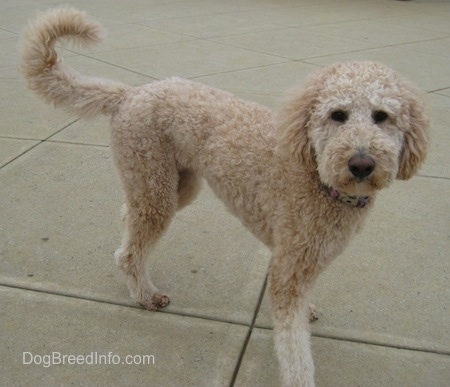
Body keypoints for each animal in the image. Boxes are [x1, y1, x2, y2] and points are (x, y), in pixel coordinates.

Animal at [21, 6, 428, 387]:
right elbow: (294, 350)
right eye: (337, 115)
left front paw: (310, 308)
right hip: (156, 185)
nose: (361, 163)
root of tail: (130, 94)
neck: (317, 175)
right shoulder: (288, 272)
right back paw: (144, 293)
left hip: (173, 185)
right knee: (131, 247)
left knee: (129, 219)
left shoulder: (304, 261)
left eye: (381, 116)